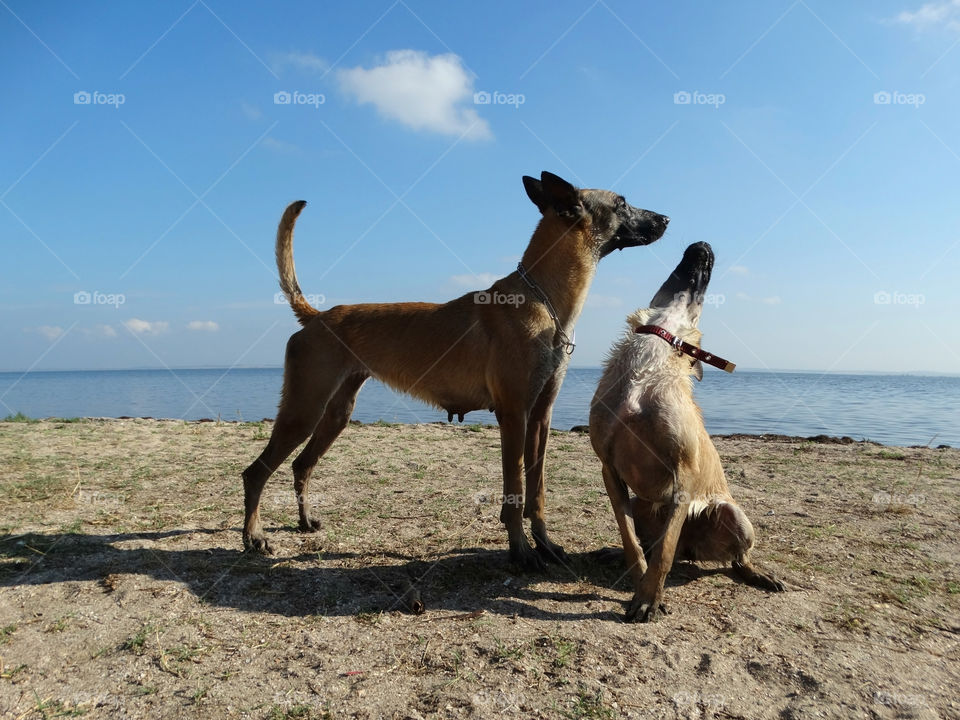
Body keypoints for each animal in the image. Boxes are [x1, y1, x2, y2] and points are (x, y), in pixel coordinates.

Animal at [244, 172, 672, 572]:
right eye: (621, 203)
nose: (667, 218)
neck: (542, 298)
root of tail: (316, 317)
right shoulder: (513, 415)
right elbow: (515, 490)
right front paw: (520, 550)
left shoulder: (541, 417)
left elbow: (536, 492)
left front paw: (545, 544)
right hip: (303, 410)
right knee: (256, 472)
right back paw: (254, 537)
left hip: (336, 413)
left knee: (301, 464)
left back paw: (304, 521)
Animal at [588, 243, 784, 624]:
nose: (703, 245)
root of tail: (690, 551)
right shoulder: (610, 470)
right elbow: (631, 541)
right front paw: (638, 582)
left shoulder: (684, 472)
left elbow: (663, 552)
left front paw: (649, 599)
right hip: (641, 502)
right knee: (649, 543)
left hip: (733, 516)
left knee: (731, 559)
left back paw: (757, 574)